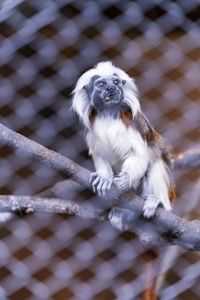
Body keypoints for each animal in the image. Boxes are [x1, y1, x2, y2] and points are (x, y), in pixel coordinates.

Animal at [72, 61, 175, 300]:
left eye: (116, 82)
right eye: (102, 84)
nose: (112, 88)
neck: (109, 115)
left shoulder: (132, 124)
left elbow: (140, 154)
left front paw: (125, 180)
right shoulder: (93, 131)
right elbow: (100, 155)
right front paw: (104, 178)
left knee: (155, 158)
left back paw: (155, 201)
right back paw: (124, 214)